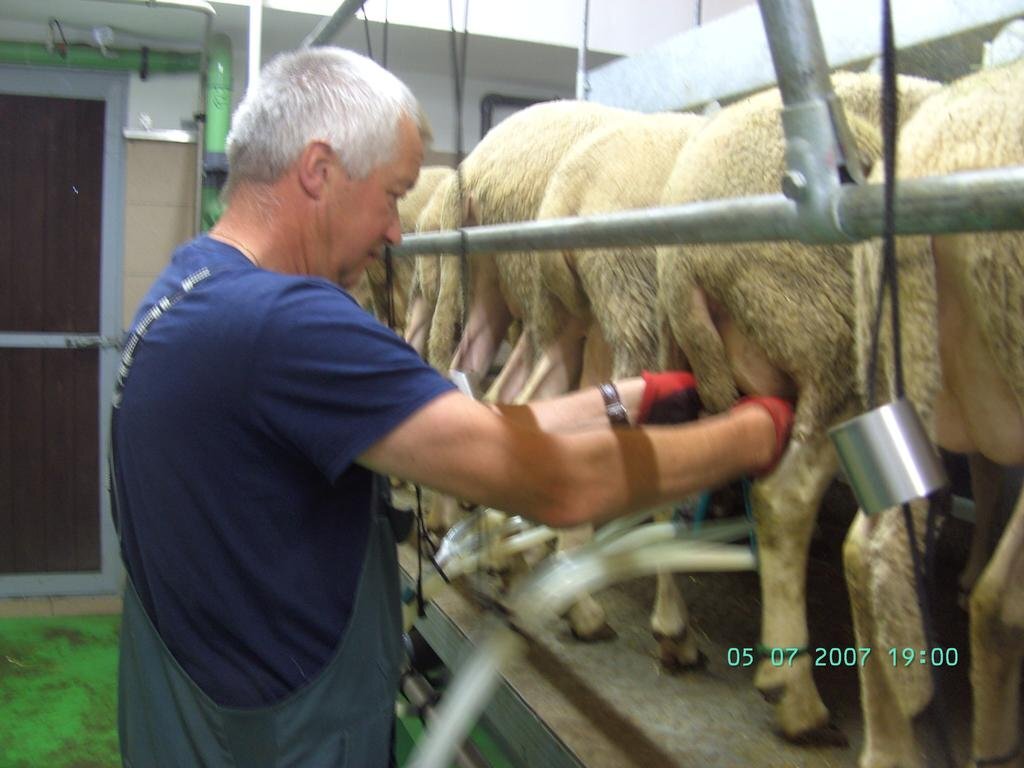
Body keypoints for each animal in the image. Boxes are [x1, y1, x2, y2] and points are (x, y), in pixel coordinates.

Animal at [655, 71, 942, 741]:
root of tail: (685, 263)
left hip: (682, 349)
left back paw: (674, 633)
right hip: (836, 343)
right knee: (785, 498)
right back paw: (796, 694)